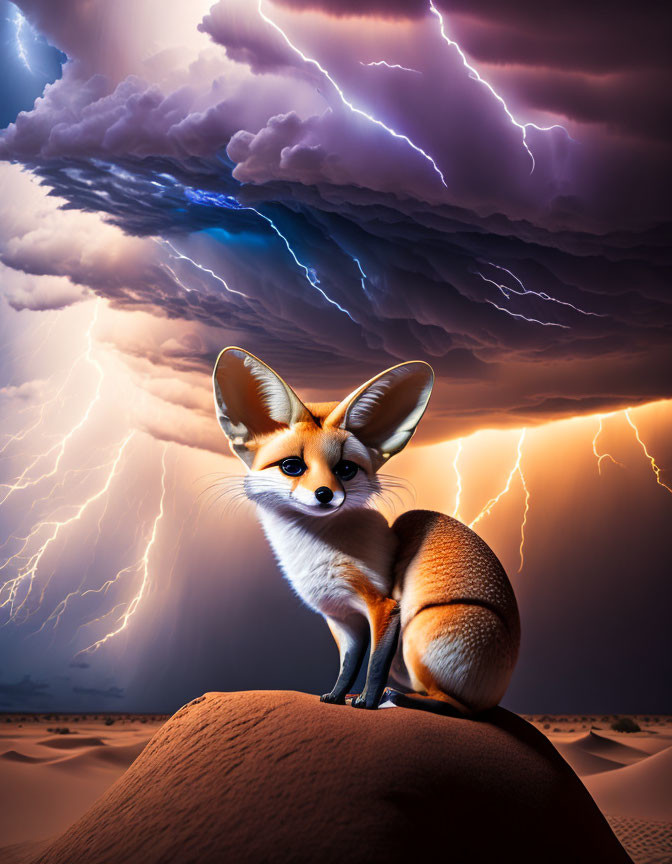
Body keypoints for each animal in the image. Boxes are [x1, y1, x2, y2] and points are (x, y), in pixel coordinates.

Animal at [213, 348, 516, 712]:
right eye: (292, 466)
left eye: (345, 469)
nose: (325, 494)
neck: (318, 554)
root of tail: (498, 690)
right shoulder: (342, 619)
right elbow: (348, 665)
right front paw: (335, 697)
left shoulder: (384, 606)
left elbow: (374, 666)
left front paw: (367, 702)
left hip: (418, 633)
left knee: (457, 706)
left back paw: (399, 698)